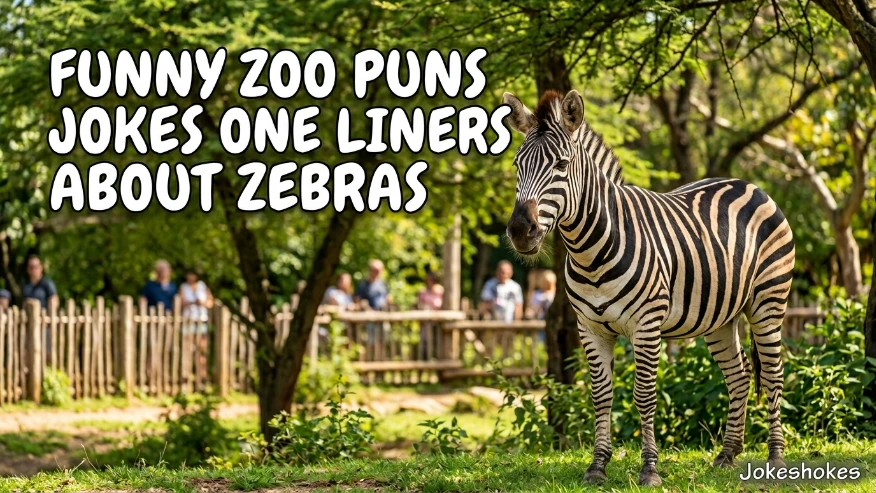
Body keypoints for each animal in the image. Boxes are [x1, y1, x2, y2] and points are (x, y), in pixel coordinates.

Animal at [502, 89, 794, 487]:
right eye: (517, 165)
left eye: (561, 165)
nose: (520, 231)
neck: (590, 251)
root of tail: (749, 184)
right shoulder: (589, 328)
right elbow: (601, 395)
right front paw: (597, 466)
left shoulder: (646, 325)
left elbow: (644, 395)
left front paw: (650, 469)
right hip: (721, 317)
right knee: (740, 375)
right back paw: (727, 454)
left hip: (768, 303)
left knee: (774, 374)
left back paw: (776, 458)